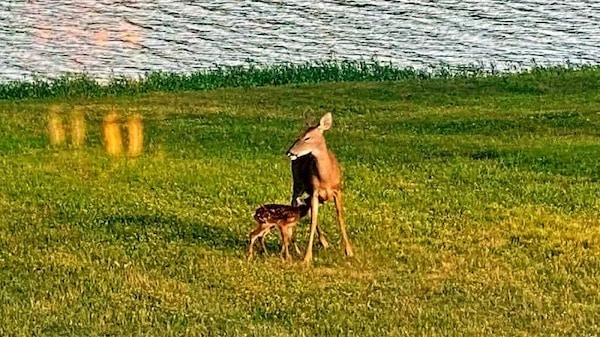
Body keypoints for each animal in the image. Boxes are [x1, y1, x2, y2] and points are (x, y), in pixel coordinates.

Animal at [288, 113, 354, 262]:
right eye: (300, 136)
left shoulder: (337, 190)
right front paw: (307, 257)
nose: (289, 152)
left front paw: (349, 251)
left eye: (307, 137)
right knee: (295, 205)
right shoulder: (315, 191)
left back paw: (324, 243)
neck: (326, 177)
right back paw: (298, 248)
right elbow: (313, 220)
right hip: (298, 184)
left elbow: (340, 217)